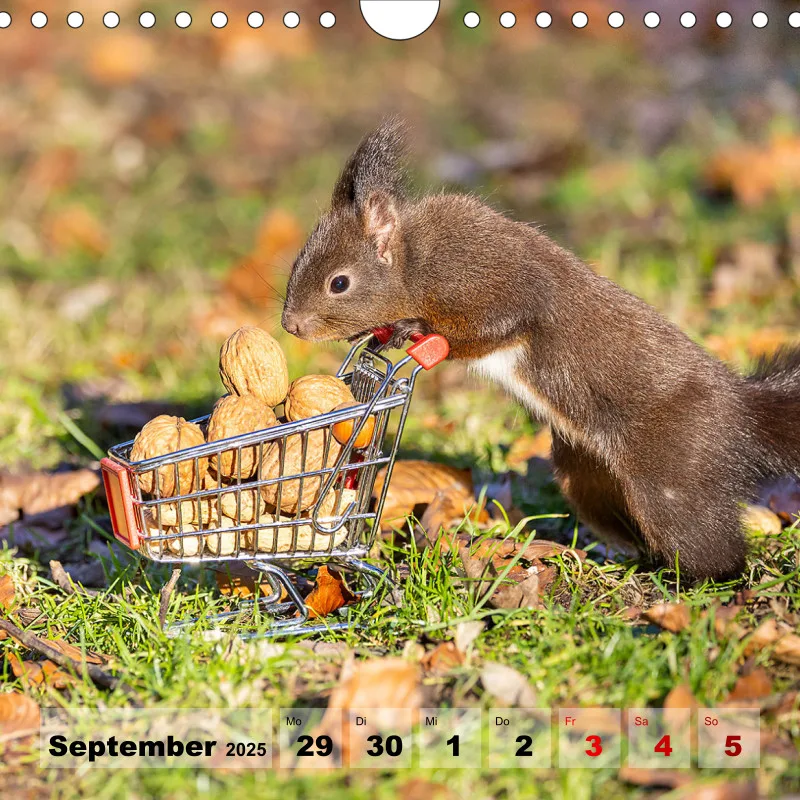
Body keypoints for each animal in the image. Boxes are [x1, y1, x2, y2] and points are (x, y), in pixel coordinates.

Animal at [281, 119, 800, 582]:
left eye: (339, 283)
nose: (290, 325)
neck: (414, 263)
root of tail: (740, 409)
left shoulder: (486, 274)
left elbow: (499, 322)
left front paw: (413, 329)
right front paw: (378, 334)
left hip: (673, 474)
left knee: (709, 545)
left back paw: (700, 578)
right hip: (586, 476)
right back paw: (631, 559)